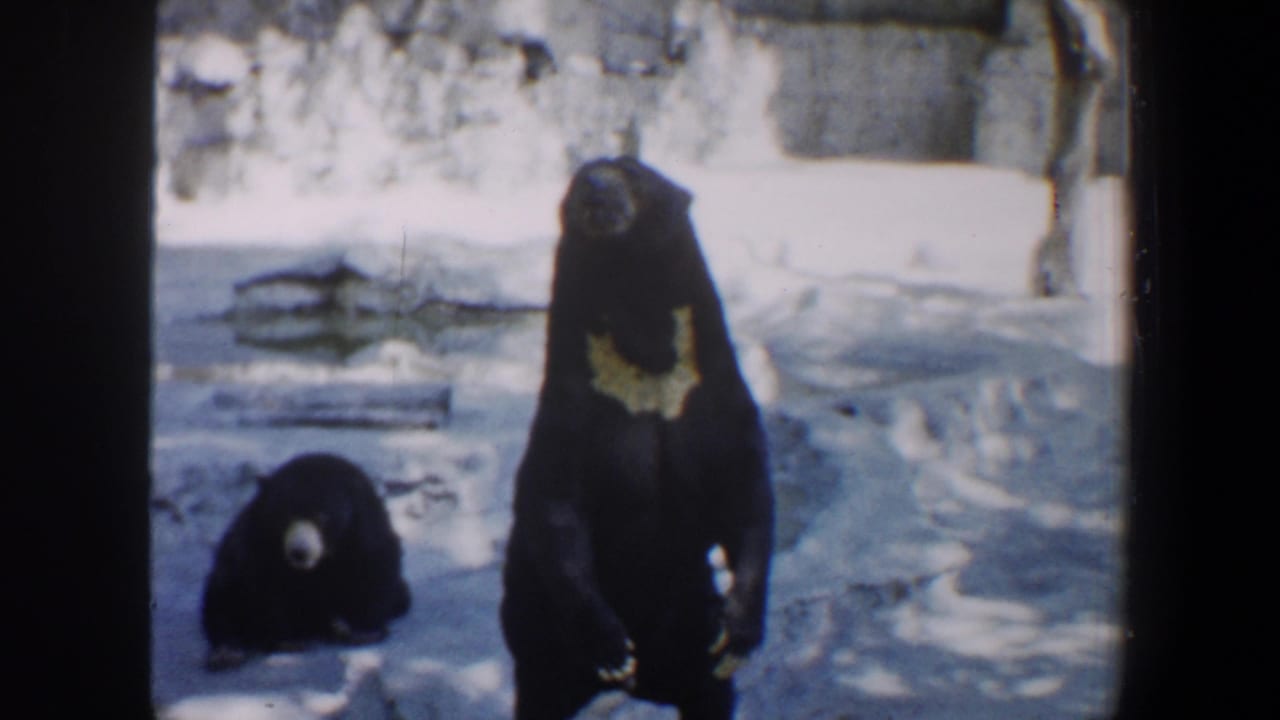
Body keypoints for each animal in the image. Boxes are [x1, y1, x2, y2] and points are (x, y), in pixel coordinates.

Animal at [200, 452, 411, 671]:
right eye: (284, 516)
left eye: (322, 517)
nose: (299, 552)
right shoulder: (259, 540)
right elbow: (263, 585)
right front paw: (286, 640)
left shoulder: (364, 531)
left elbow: (374, 568)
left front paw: (363, 631)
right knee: (223, 597)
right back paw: (227, 652)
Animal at [500, 156, 775, 719]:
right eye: (578, 176)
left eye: (631, 172)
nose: (596, 186)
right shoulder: (572, 409)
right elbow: (556, 503)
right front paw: (611, 647)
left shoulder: (714, 396)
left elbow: (746, 491)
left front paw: (740, 632)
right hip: (535, 622)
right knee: (540, 688)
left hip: (688, 611)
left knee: (709, 689)